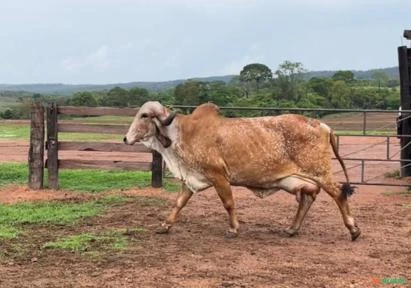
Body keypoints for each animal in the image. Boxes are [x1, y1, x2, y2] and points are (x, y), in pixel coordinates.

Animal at [124, 101, 362, 241]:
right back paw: (292, 229)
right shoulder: (192, 179)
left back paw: (353, 229)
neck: (184, 133)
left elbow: (229, 203)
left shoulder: (219, 176)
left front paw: (233, 229)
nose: (126, 138)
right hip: (305, 180)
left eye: (144, 116)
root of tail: (323, 125)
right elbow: (179, 203)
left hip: (321, 174)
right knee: (307, 199)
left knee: (339, 195)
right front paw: (165, 225)